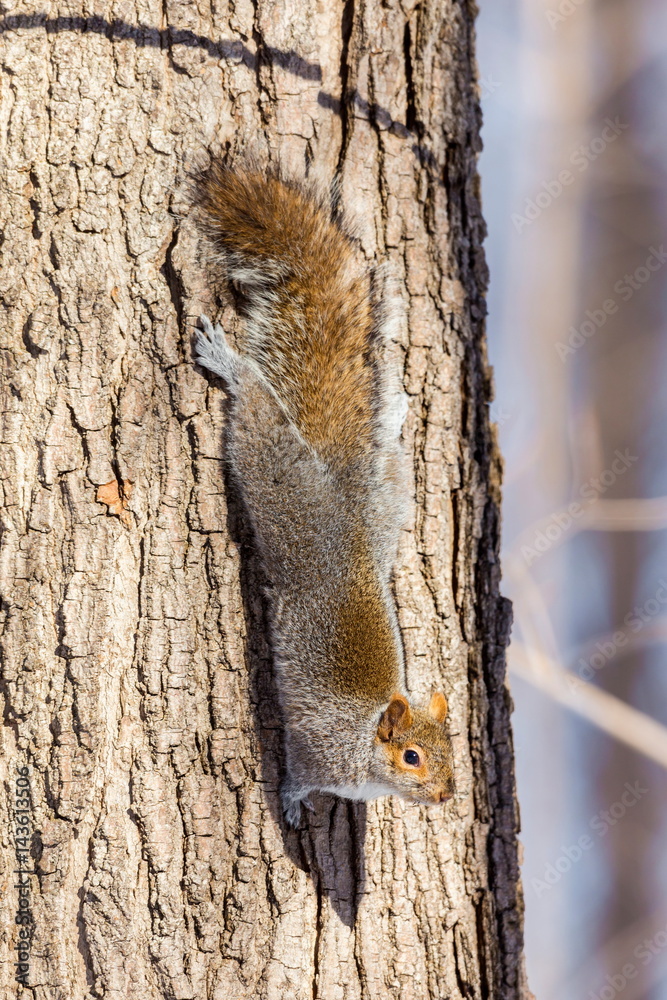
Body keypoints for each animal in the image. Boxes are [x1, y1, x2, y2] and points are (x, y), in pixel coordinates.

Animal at [192, 163, 455, 826]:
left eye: (452, 752)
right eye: (412, 757)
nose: (447, 794)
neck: (362, 745)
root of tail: (344, 504)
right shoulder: (317, 750)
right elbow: (297, 774)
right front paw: (289, 802)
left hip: (388, 501)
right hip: (284, 491)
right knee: (259, 421)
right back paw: (231, 365)